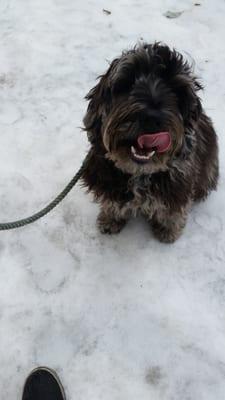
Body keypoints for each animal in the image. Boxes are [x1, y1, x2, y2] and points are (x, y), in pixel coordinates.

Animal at [81, 43, 219, 244]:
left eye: (175, 90)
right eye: (128, 82)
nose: (152, 118)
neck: (140, 173)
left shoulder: (178, 186)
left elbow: (172, 211)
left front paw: (167, 230)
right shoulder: (105, 177)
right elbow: (111, 202)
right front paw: (111, 220)